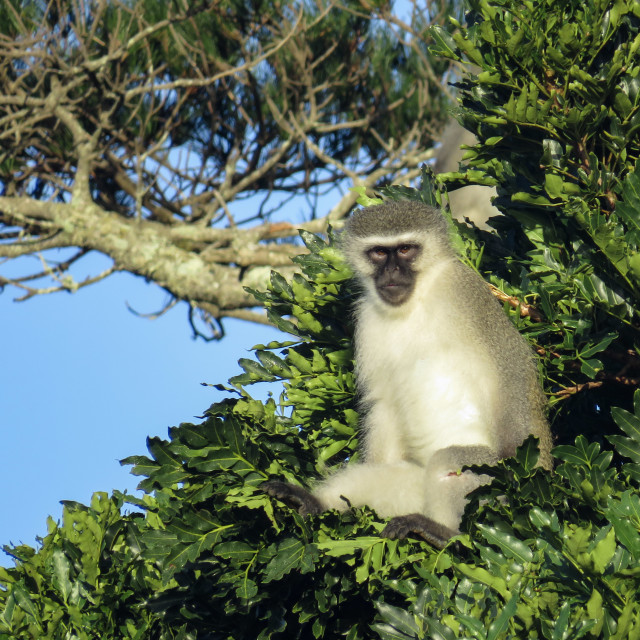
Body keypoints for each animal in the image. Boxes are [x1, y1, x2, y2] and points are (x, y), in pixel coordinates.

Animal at [262, 200, 552, 544]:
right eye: (378, 252)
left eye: (404, 249)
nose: (391, 272)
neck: (416, 300)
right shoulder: (367, 319)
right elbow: (383, 401)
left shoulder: (464, 291)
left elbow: (510, 367)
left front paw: (521, 467)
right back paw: (315, 502)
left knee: (451, 460)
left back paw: (445, 532)